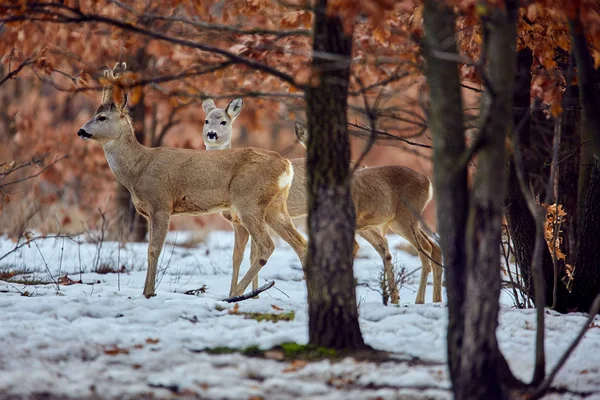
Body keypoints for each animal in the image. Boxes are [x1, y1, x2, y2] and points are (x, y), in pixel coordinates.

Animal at [76, 64, 304, 298]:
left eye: (102, 117)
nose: (81, 131)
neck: (138, 168)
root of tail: (286, 164)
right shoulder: (149, 212)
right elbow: (150, 249)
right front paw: (147, 291)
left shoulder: (161, 203)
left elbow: (154, 249)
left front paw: (148, 292)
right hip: (275, 205)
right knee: (300, 243)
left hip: (249, 200)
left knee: (268, 245)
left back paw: (236, 293)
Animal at [202, 97, 440, 304]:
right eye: (206, 120)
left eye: (224, 121)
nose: (211, 134)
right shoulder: (239, 222)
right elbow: (238, 257)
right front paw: (241, 294)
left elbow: (252, 255)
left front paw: (245, 295)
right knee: (401, 246)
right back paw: (410, 298)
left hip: (396, 218)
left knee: (412, 247)